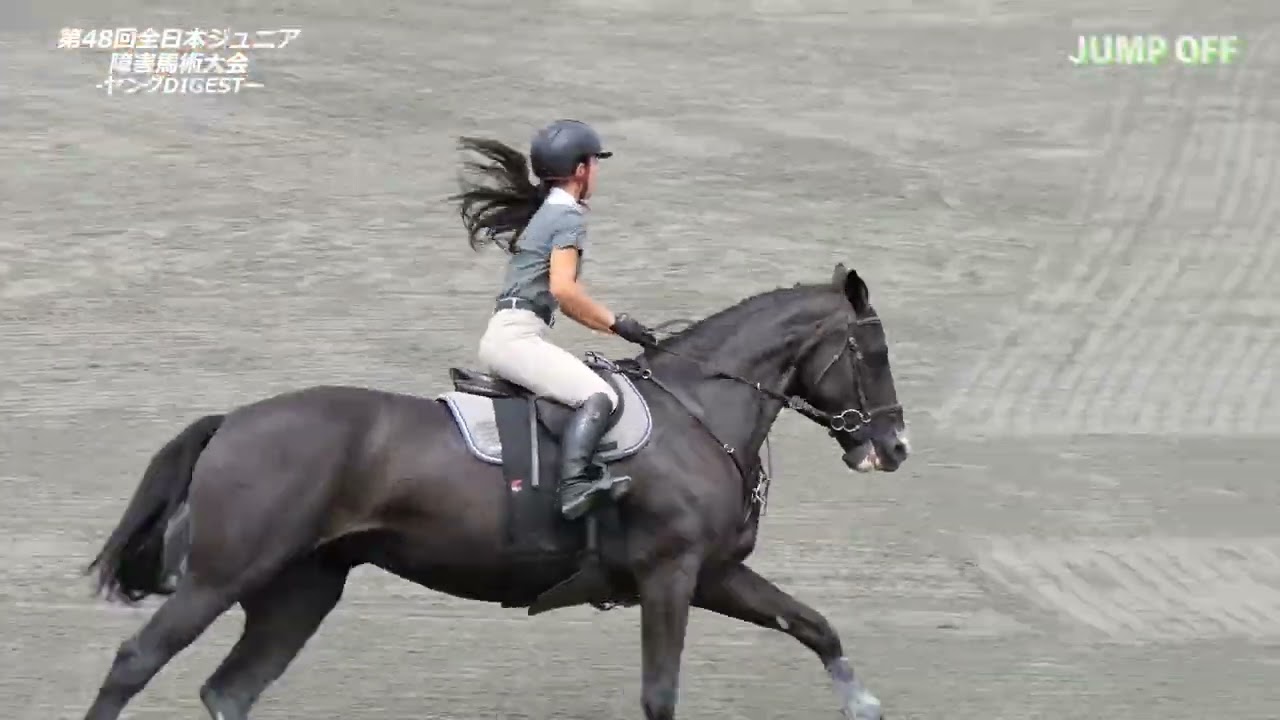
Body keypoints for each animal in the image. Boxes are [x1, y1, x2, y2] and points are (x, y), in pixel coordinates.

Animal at [80, 262, 909, 720]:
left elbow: (814, 626)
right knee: (135, 661)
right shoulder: (669, 575)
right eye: (874, 353)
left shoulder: (713, 573)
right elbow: (660, 694)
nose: (895, 448)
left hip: (300, 588)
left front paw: (865, 704)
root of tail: (233, 421)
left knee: (231, 690)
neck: (698, 413)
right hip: (221, 577)